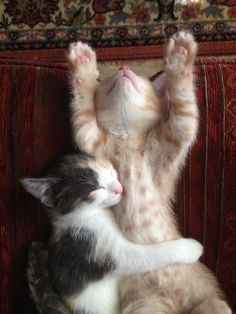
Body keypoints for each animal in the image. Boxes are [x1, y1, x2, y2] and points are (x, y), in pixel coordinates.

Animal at [21, 151, 203, 312]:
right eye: (95, 188)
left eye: (109, 171)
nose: (119, 188)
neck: (91, 215)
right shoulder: (94, 245)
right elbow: (143, 256)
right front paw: (191, 248)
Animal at [68, 33, 230, 312]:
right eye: (109, 79)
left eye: (140, 77)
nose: (123, 68)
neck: (126, 138)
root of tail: (178, 305)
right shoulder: (92, 141)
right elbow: (83, 115)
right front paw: (83, 67)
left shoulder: (173, 140)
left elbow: (184, 110)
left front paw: (180, 58)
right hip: (147, 303)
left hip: (209, 297)